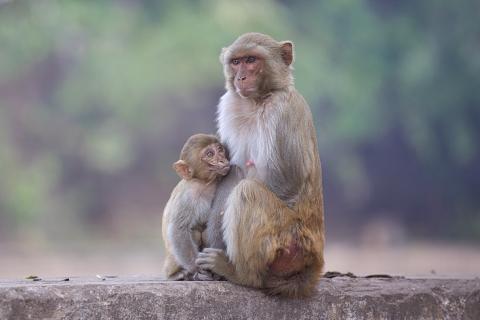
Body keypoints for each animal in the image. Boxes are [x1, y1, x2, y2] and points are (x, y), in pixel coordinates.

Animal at [161, 132, 231, 280]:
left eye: (220, 149)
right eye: (210, 154)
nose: (222, 160)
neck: (205, 183)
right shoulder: (188, 196)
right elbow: (178, 229)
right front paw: (197, 268)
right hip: (171, 261)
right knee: (195, 232)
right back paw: (177, 274)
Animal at [196, 33, 326, 298]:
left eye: (251, 60)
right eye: (236, 62)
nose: (241, 78)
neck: (258, 101)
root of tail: (314, 262)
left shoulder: (284, 110)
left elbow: (287, 181)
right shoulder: (230, 104)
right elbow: (232, 172)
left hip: (289, 243)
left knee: (248, 193)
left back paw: (242, 274)